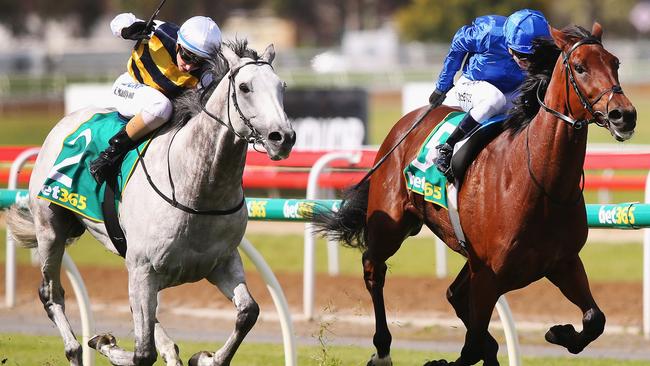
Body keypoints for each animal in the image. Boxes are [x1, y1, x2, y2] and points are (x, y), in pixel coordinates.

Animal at [4, 40, 294, 366]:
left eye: (281, 86)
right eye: (245, 87)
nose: (283, 137)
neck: (197, 189)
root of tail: (65, 121)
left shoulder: (222, 262)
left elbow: (248, 312)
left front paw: (205, 358)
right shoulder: (143, 268)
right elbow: (142, 353)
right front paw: (106, 344)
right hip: (50, 227)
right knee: (51, 293)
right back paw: (75, 349)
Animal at [308, 24, 632, 364]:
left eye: (615, 63)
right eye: (580, 67)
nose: (624, 115)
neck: (538, 183)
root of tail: (407, 123)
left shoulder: (562, 262)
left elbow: (594, 319)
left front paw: (560, 332)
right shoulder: (488, 275)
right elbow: (473, 342)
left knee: (454, 294)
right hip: (390, 224)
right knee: (374, 268)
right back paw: (382, 349)